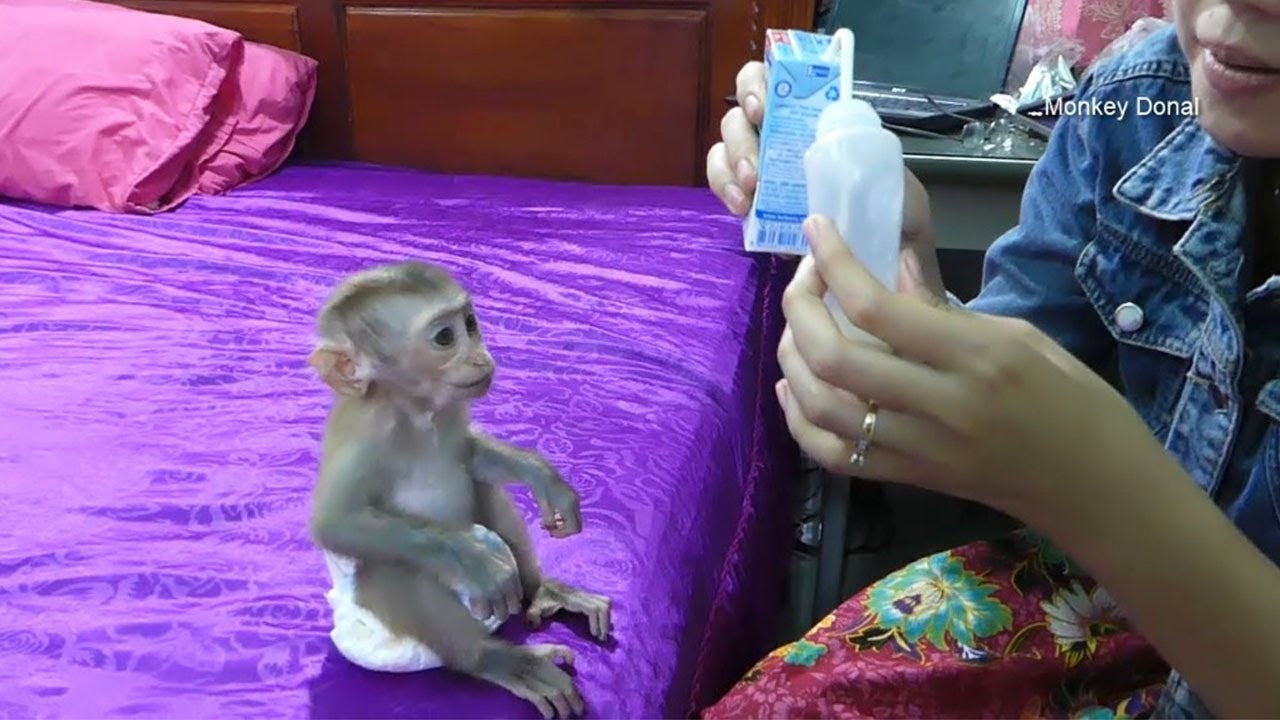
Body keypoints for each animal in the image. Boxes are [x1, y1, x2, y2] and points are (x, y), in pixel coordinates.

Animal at [306, 261, 611, 720]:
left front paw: (542, 476)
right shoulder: (367, 434)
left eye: (470, 324)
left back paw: (541, 589)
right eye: (445, 338)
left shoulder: (450, 411)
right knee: (388, 565)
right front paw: (471, 554)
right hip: (375, 636)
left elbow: (469, 456)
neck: (415, 413)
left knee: (481, 486)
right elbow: (336, 524)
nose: (481, 356)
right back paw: (494, 660)